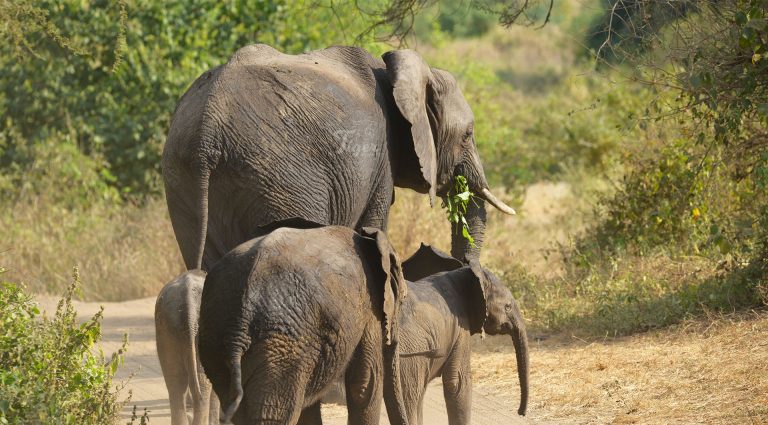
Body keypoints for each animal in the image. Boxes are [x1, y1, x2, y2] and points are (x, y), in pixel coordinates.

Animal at [162, 44, 516, 272]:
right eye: (468, 134)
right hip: (277, 175)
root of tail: (208, 129)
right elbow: (374, 225)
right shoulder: (380, 156)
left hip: (183, 181)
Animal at [197, 220, 410, 425]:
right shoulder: (369, 306)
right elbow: (365, 384)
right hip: (283, 347)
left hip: (216, 340)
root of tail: (239, 326)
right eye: (402, 300)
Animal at [396, 243, 530, 423]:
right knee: (411, 397)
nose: (520, 412)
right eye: (507, 307)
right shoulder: (460, 327)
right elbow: (459, 382)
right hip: (410, 352)